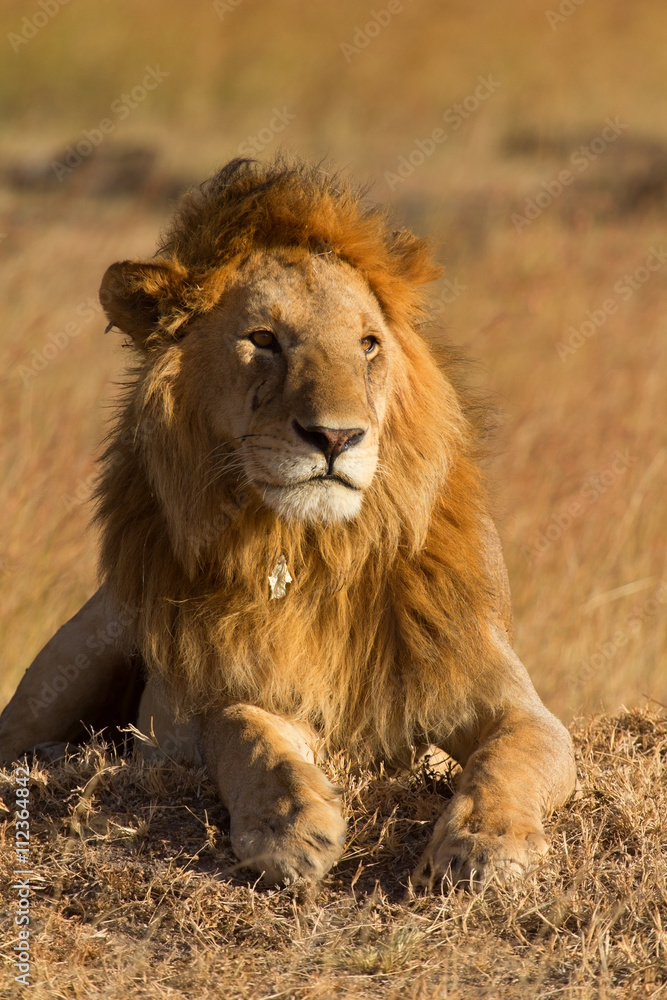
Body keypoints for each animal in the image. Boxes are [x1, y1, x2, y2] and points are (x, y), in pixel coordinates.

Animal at [0, 156, 576, 887]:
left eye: (368, 344)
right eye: (263, 341)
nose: (336, 437)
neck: (314, 550)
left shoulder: (503, 696)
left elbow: (514, 755)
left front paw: (485, 845)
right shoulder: (220, 698)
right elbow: (242, 728)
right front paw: (287, 825)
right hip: (78, 654)